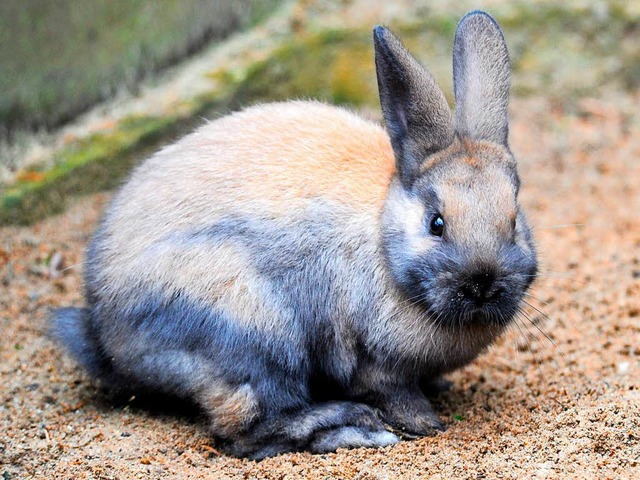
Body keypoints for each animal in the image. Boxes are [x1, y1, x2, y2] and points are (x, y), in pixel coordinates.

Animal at [52, 11, 536, 460]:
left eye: (514, 220)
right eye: (436, 223)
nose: (483, 283)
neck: (385, 234)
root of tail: (105, 334)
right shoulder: (374, 362)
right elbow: (398, 397)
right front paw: (428, 424)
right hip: (254, 332)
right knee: (246, 431)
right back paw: (352, 427)